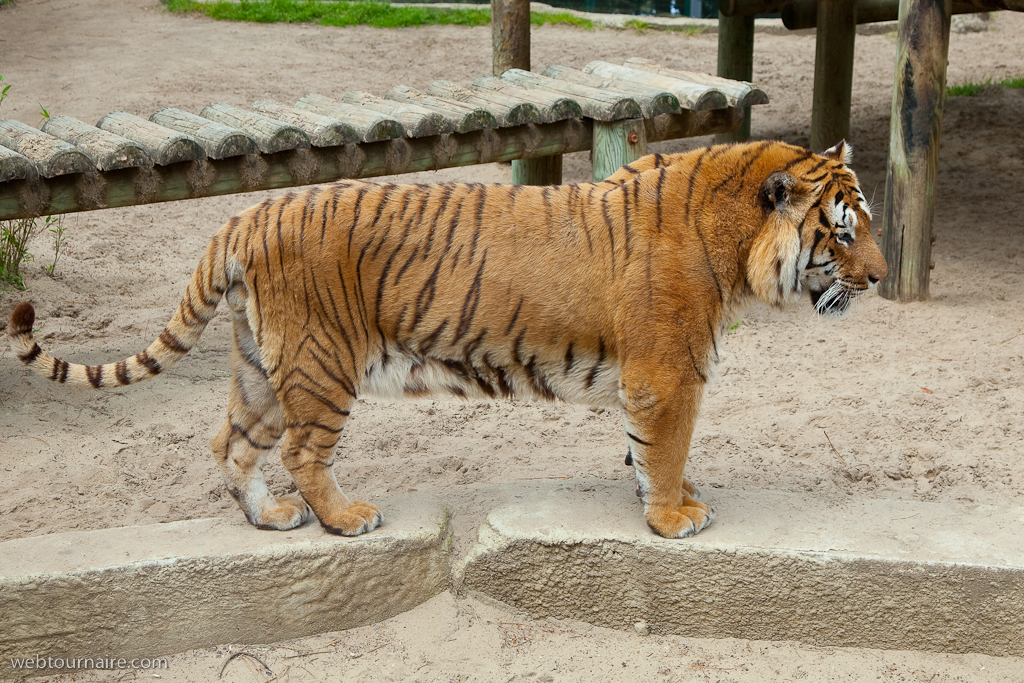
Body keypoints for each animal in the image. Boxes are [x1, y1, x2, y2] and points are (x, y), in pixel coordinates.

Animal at [8, 139, 887, 539]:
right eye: (842, 232)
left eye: (863, 226)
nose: (881, 278)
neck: (735, 243)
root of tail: (247, 213)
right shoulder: (669, 374)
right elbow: (664, 450)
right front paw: (674, 518)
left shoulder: (653, 380)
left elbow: (645, 453)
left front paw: (667, 500)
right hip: (322, 364)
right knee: (300, 450)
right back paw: (344, 516)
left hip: (263, 366)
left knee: (230, 441)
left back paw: (272, 518)